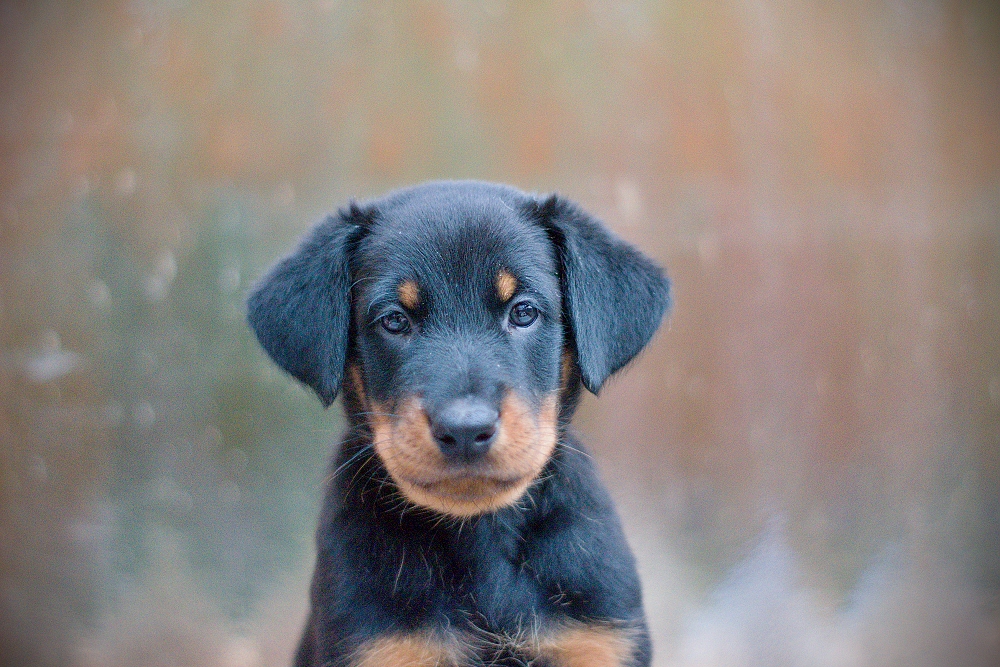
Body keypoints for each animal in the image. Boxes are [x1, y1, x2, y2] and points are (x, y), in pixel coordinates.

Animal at [248, 181, 672, 667]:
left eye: (523, 312)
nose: (466, 430)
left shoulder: (597, 640)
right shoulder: (379, 646)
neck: (480, 539)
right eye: (394, 320)